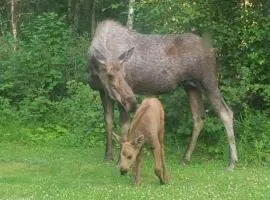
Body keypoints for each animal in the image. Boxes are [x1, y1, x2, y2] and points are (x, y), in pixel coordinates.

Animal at [87, 19, 237, 170]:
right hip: (191, 86)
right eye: (110, 76)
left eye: (125, 74)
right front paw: (107, 157)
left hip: (208, 82)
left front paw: (119, 161)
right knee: (199, 117)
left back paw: (232, 162)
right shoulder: (103, 92)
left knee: (226, 113)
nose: (132, 102)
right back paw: (186, 158)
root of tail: (214, 50)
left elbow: (123, 127)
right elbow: (108, 122)